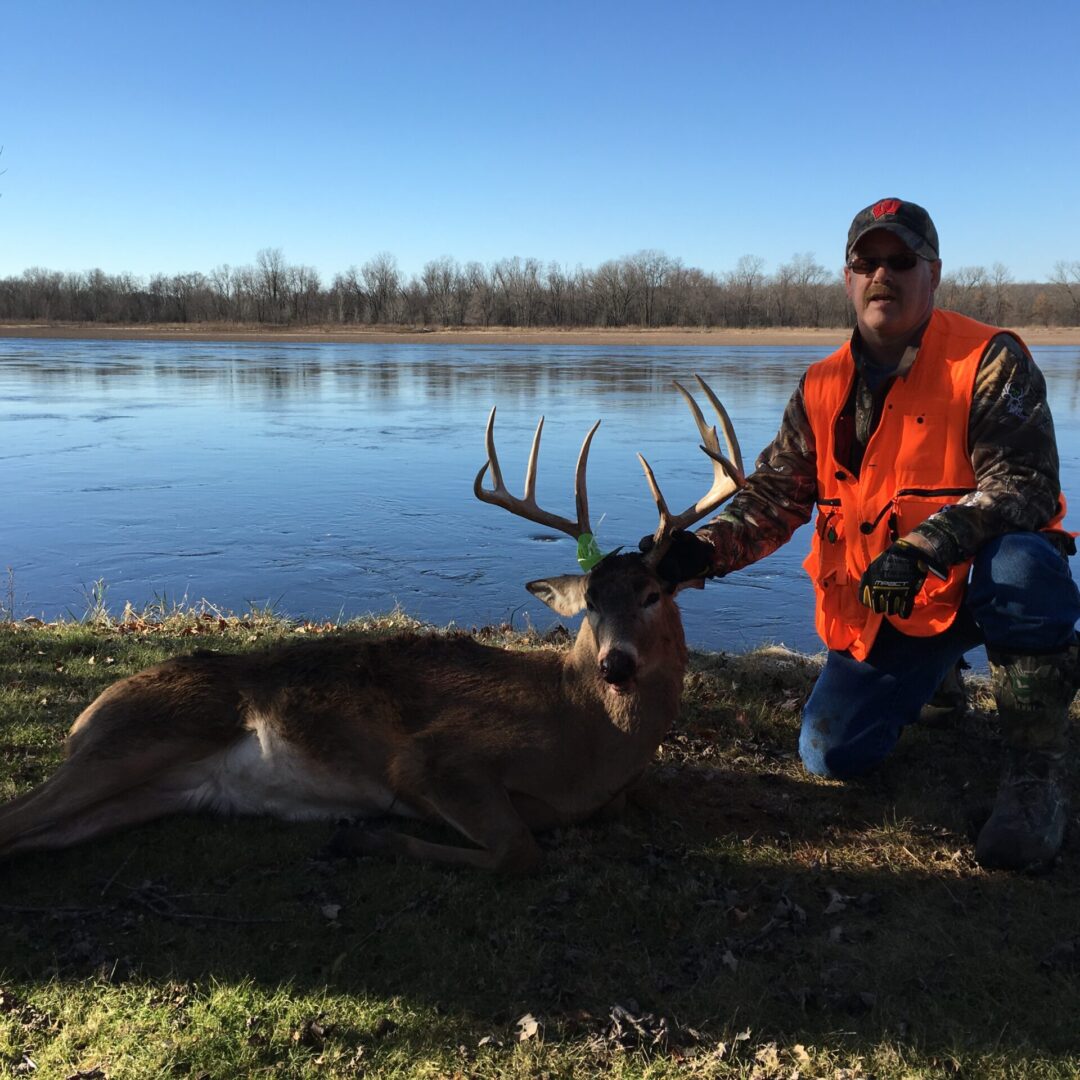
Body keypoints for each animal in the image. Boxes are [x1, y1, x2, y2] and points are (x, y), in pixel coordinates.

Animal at [0, 377, 744, 873]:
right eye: (589, 601)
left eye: (653, 593)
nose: (614, 663)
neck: (585, 740)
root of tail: (85, 714)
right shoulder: (434, 759)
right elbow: (518, 851)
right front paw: (359, 834)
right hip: (144, 736)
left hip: (150, 790)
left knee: (37, 834)